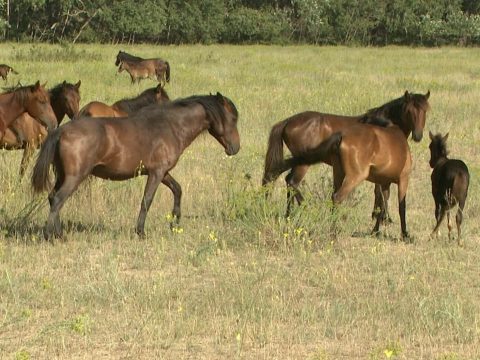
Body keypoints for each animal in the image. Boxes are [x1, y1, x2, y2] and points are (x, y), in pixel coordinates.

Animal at [31, 93, 240, 240]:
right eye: (233, 119)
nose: (235, 148)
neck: (170, 126)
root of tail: (61, 130)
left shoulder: (162, 173)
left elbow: (177, 190)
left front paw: (175, 223)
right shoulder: (156, 173)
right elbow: (147, 201)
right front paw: (140, 232)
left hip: (64, 176)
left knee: (52, 198)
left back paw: (58, 233)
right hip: (75, 177)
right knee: (58, 199)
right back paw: (51, 236)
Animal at [278, 118, 412, 240]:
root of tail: (342, 137)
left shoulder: (384, 183)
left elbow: (382, 206)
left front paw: (375, 231)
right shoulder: (403, 180)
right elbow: (401, 207)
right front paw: (405, 235)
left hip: (338, 173)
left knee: (331, 196)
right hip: (354, 177)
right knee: (337, 197)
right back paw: (333, 233)